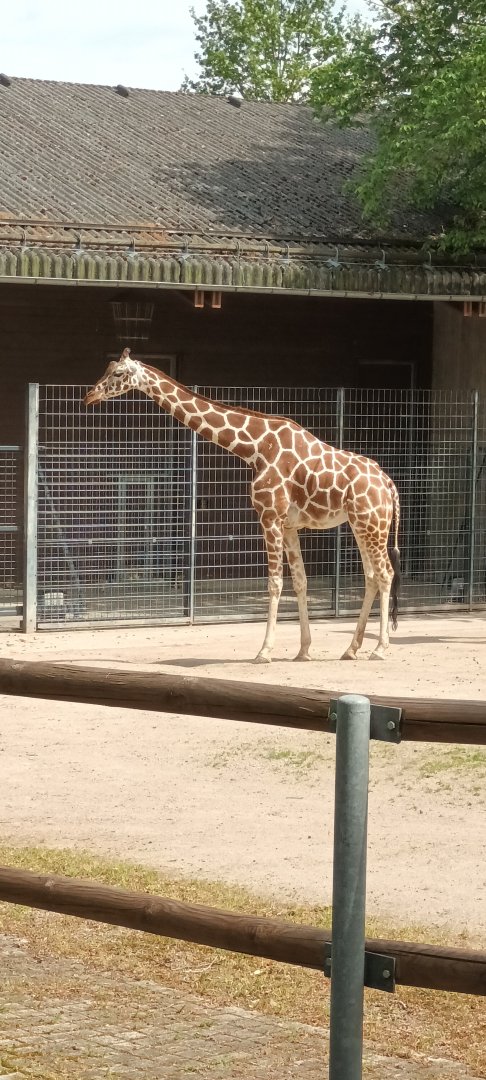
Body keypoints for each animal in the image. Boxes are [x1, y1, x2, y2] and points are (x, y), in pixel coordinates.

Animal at [84, 349, 401, 663]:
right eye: (107, 368)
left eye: (118, 373)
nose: (90, 395)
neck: (255, 448)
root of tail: (389, 485)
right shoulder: (289, 525)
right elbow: (300, 581)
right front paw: (303, 650)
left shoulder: (269, 516)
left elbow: (275, 583)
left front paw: (264, 651)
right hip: (361, 524)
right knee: (371, 576)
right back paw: (351, 648)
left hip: (372, 524)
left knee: (385, 573)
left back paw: (380, 648)